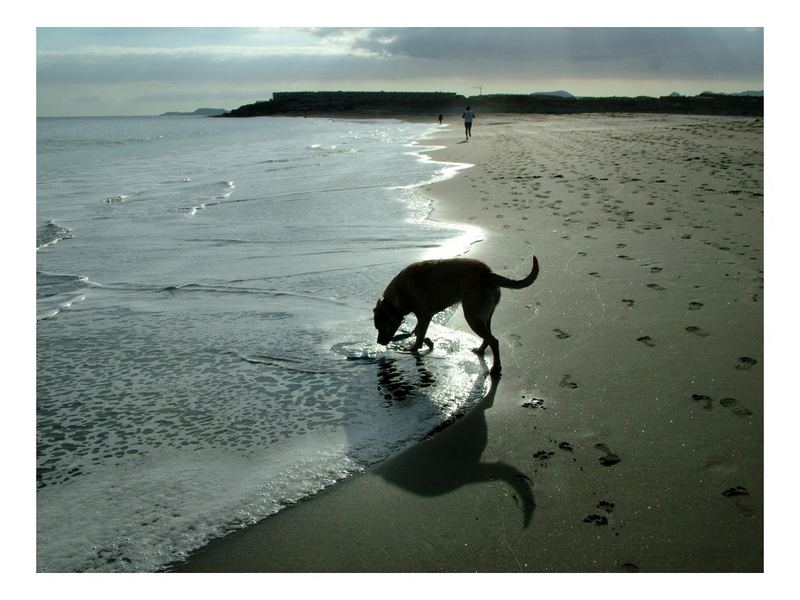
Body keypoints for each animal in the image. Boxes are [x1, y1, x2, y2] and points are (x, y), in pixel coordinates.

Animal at [374, 256, 536, 378]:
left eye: (381, 327)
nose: (379, 342)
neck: (395, 299)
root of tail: (488, 274)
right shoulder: (424, 317)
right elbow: (418, 331)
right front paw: (428, 341)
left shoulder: (424, 315)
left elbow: (418, 335)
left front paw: (413, 348)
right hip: (484, 316)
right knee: (488, 337)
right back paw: (480, 350)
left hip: (472, 316)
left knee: (494, 340)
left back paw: (496, 368)